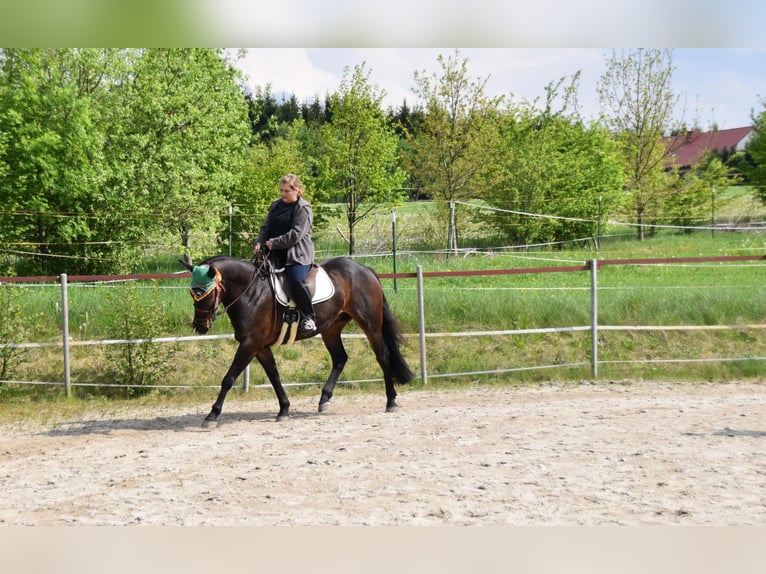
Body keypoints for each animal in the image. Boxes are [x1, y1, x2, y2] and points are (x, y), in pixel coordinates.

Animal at [179, 255, 414, 427]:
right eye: (192, 293)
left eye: (206, 293)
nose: (200, 327)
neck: (251, 292)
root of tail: (364, 269)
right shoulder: (260, 347)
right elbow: (274, 376)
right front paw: (284, 409)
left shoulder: (249, 344)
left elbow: (228, 378)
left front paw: (212, 415)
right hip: (331, 328)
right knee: (340, 358)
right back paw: (324, 399)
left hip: (370, 325)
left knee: (383, 356)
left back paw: (391, 401)